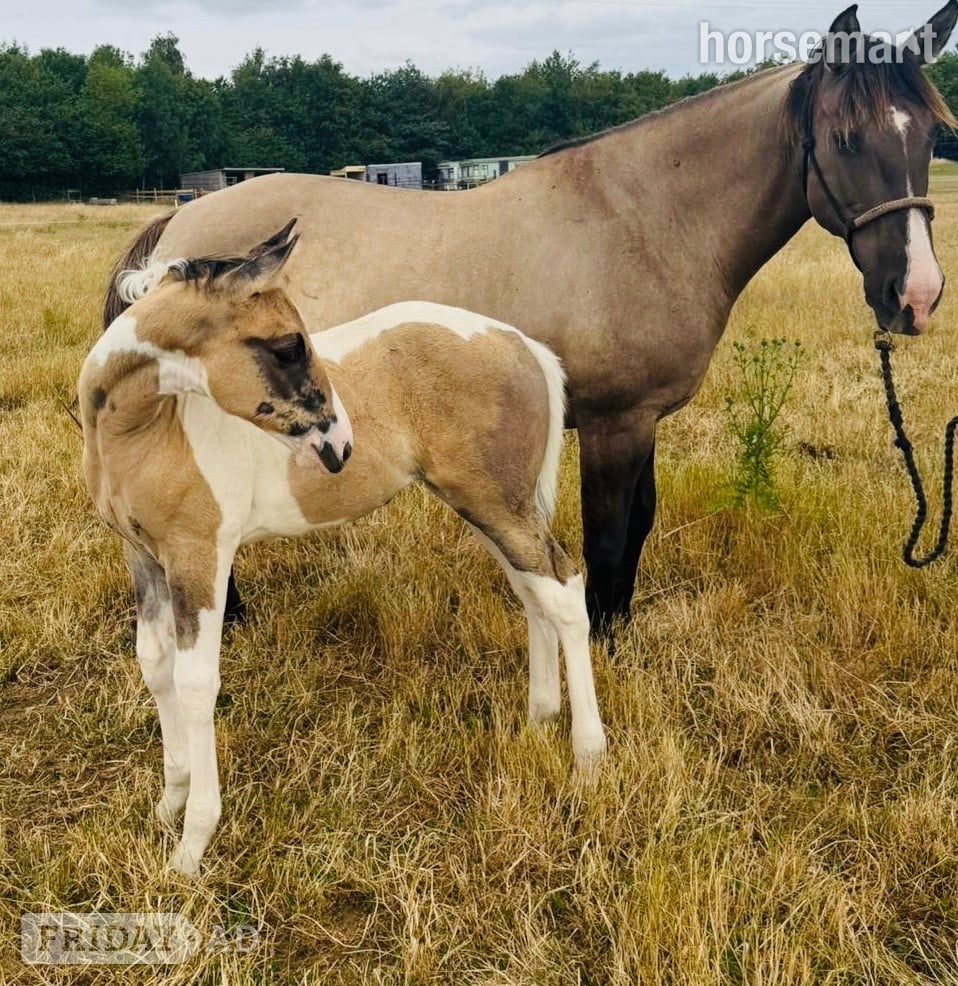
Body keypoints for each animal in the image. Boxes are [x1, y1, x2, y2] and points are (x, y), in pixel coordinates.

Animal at [80, 228, 607, 875]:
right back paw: (539, 720)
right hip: (487, 503)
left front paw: (191, 847)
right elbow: (155, 666)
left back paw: (588, 755)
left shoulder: (200, 556)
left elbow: (196, 682)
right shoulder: (143, 556)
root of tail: (524, 344)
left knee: (565, 592)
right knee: (533, 591)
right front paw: (167, 804)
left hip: (497, 503)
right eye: (288, 347)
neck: (148, 430)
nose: (340, 446)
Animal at [103, 3, 958, 635]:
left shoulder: (638, 419)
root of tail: (177, 229)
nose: (915, 296)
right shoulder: (614, 422)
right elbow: (609, 536)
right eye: (846, 138)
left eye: (930, 136)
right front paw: (602, 644)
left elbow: (638, 524)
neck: (642, 221)